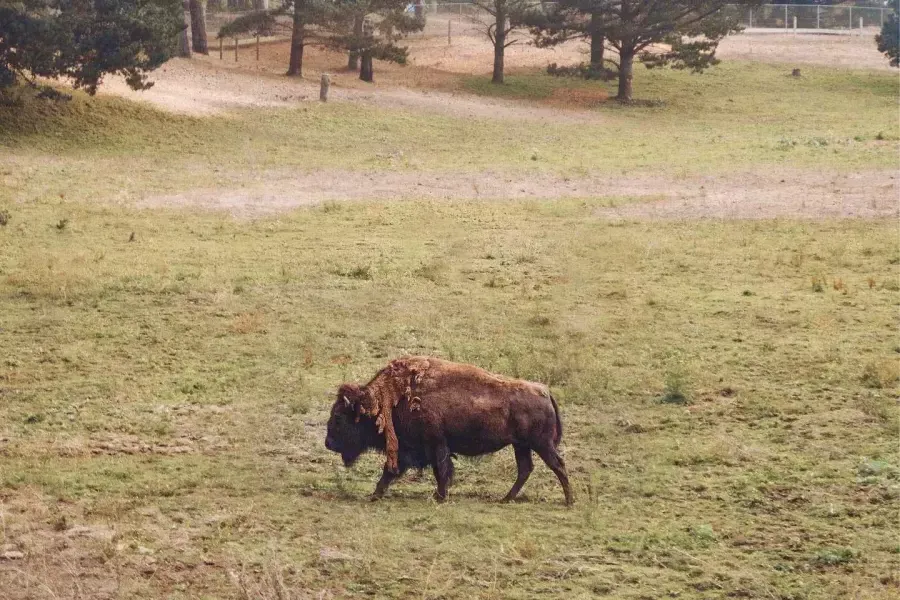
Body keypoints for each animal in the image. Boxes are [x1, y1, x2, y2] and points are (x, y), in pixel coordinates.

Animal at [326, 356, 572, 506]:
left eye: (338, 417)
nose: (328, 442)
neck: (389, 399)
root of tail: (544, 391)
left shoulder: (434, 445)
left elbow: (439, 471)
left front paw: (439, 496)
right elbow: (394, 472)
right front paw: (376, 494)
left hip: (540, 444)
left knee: (557, 465)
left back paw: (570, 501)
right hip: (521, 446)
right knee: (525, 469)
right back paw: (506, 499)